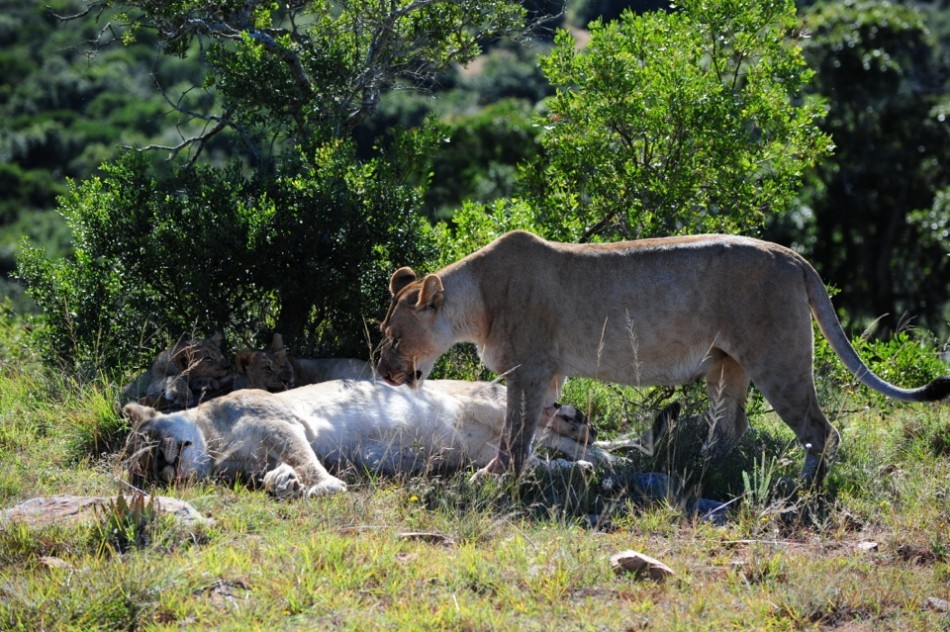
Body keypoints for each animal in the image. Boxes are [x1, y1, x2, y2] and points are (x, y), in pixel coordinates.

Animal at [376, 230, 950, 485]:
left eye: (394, 336)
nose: (381, 371)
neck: (475, 302)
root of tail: (793, 256)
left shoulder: (532, 369)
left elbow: (516, 433)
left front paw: (496, 480)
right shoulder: (550, 374)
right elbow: (529, 429)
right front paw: (505, 471)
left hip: (779, 360)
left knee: (820, 429)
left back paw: (800, 485)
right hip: (727, 364)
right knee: (732, 427)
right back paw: (700, 467)